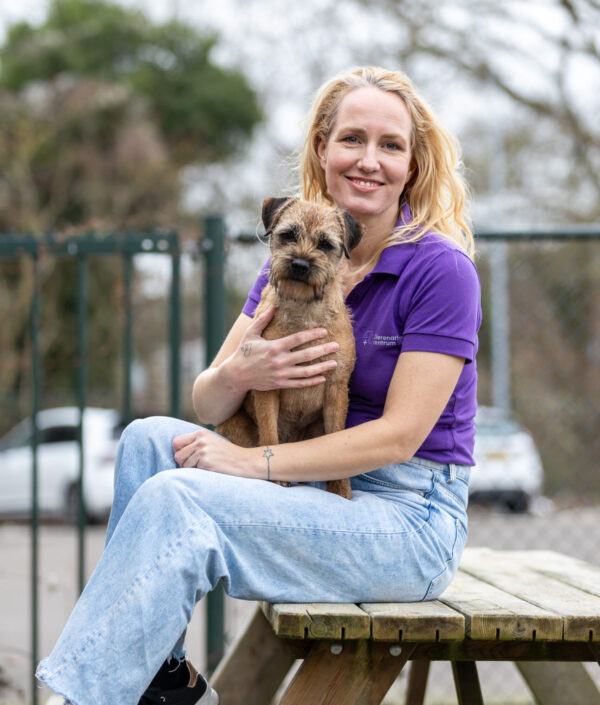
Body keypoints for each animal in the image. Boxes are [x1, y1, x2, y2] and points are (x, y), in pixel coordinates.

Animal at [215, 197, 363, 500]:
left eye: (325, 244)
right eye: (288, 235)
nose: (300, 264)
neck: (303, 311)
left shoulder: (336, 388)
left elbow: (336, 437)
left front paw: (340, 489)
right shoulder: (266, 385)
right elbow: (270, 433)